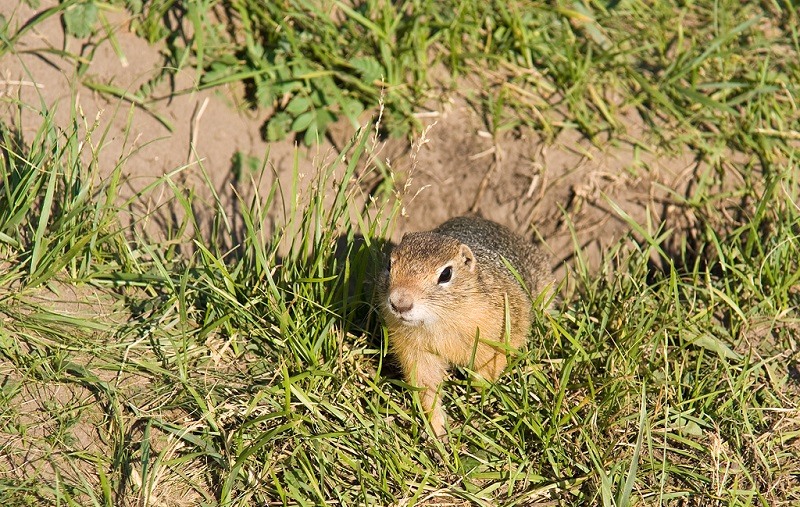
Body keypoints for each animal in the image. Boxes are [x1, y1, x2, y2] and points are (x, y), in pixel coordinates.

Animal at [376, 216, 552, 438]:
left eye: (446, 274)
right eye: (389, 265)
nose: (399, 303)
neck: (439, 321)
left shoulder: (501, 330)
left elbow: (491, 367)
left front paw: (480, 406)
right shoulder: (416, 352)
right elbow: (426, 387)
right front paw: (438, 429)